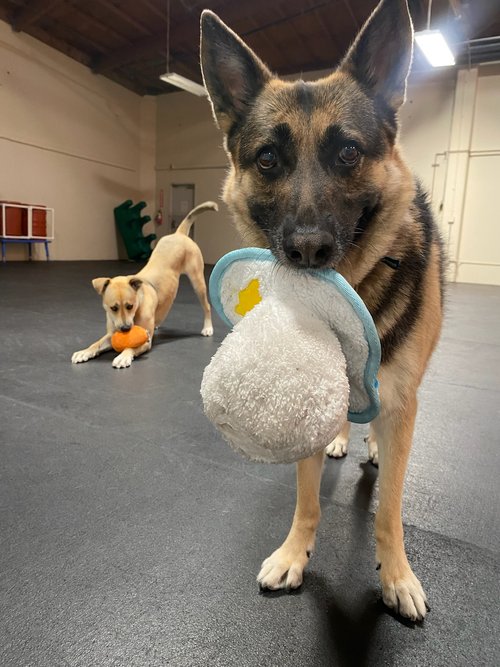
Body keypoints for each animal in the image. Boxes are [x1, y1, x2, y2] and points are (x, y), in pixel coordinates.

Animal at [71, 204, 216, 370]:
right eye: (113, 308)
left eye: (130, 306)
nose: (125, 329)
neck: (138, 305)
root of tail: (179, 234)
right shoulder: (111, 333)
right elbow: (97, 343)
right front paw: (85, 351)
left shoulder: (146, 340)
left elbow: (131, 346)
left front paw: (123, 356)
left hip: (198, 281)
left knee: (206, 306)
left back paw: (207, 327)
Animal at [201, 0, 444, 624]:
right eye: (267, 159)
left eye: (349, 153)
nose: (308, 249)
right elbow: (307, 498)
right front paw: (295, 552)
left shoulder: (403, 403)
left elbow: (390, 510)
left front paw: (396, 575)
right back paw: (339, 435)